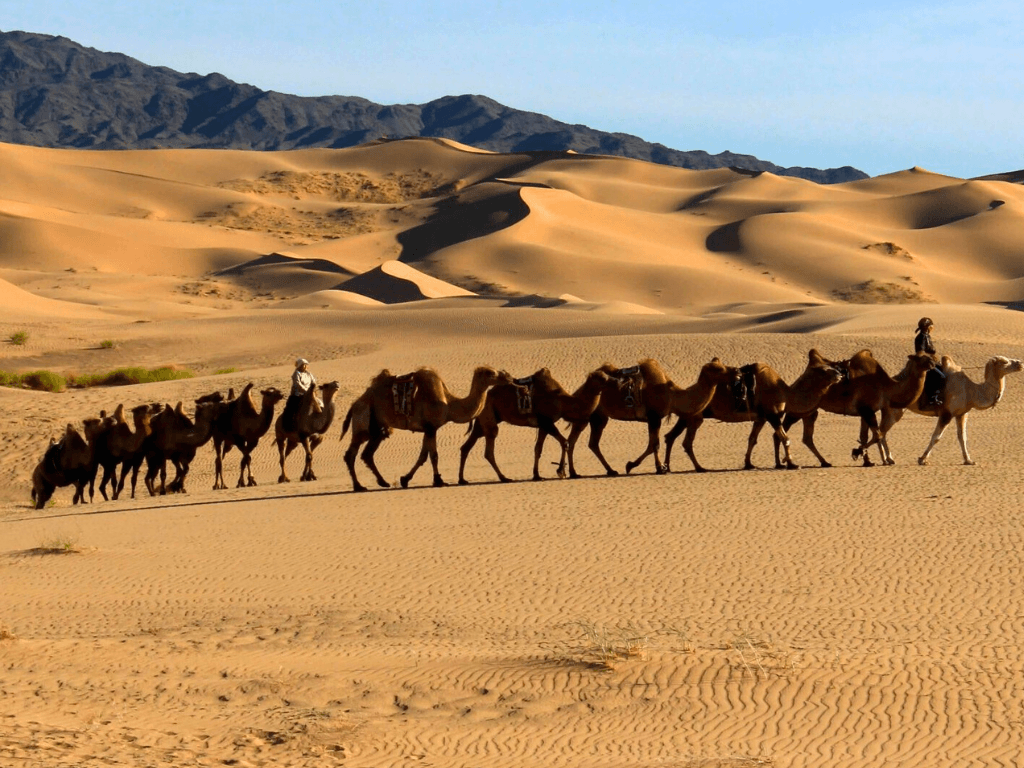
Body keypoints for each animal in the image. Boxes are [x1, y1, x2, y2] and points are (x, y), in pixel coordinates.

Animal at [342, 366, 506, 492]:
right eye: (491, 373)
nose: (506, 376)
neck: (449, 405)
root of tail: (354, 404)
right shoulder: (431, 427)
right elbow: (433, 455)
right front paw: (438, 481)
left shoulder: (428, 429)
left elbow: (423, 456)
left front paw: (405, 479)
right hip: (362, 422)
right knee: (351, 454)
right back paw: (358, 486)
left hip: (378, 428)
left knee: (367, 454)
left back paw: (383, 482)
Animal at [457, 368, 610, 484]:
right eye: (602, 379)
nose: (612, 380)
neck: (562, 401)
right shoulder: (547, 421)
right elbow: (565, 442)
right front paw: (560, 471)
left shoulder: (543, 425)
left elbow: (538, 449)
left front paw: (537, 475)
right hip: (489, 419)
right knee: (489, 449)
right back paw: (504, 478)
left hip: (482, 422)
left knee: (466, 447)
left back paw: (462, 479)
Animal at [662, 350, 843, 472]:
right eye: (824, 370)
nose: (839, 374)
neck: (785, 393)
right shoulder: (772, 414)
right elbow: (785, 438)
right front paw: (792, 464)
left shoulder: (760, 418)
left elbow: (752, 439)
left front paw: (749, 464)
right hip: (695, 417)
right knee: (686, 441)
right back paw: (699, 467)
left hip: (688, 416)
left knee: (671, 436)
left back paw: (668, 467)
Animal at [779, 352, 936, 468]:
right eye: (920, 357)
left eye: (929, 356)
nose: (933, 363)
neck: (887, 387)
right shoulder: (867, 409)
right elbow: (877, 435)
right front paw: (856, 452)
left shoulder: (865, 411)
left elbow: (865, 436)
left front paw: (868, 461)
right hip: (800, 407)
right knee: (784, 430)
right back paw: (787, 462)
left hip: (810, 411)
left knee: (805, 437)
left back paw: (820, 462)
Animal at [875, 354, 1022, 465]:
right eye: (1004, 361)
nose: (1020, 363)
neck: (971, 391)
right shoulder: (946, 414)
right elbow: (936, 437)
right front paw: (922, 459)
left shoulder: (962, 414)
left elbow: (962, 437)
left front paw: (968, 460)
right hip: (894, 411)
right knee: (881, 432)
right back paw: (885, 460)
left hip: (892, 411)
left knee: (882, 432)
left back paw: (889, 459)